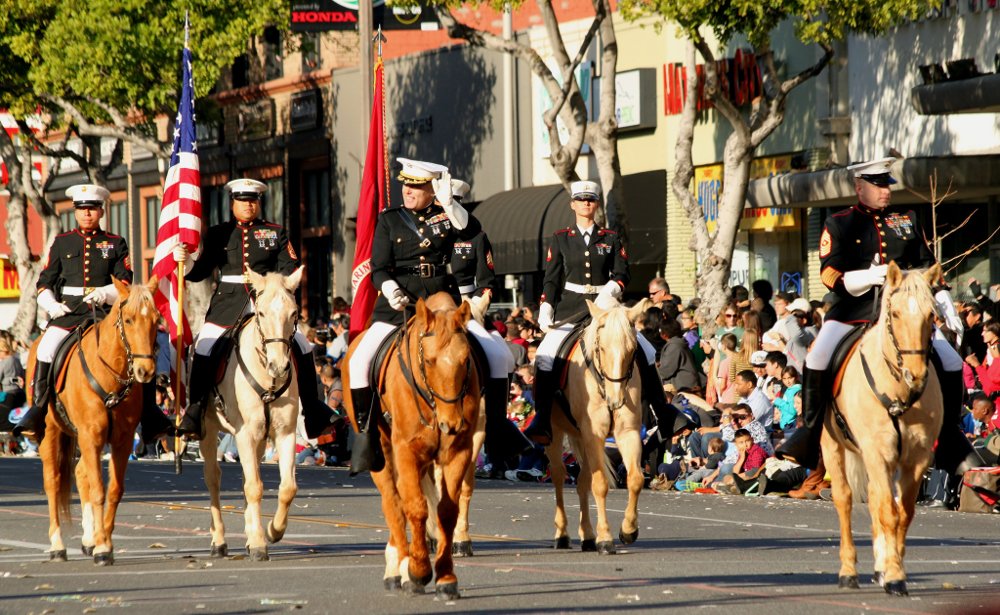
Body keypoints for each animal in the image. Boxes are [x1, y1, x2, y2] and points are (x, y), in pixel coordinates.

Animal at [28, 276, 160, 564]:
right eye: (129, 319)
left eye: (156, 320)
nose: (145, 371)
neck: (110, 374)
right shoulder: (91, 435)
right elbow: (98, 489)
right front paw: (102, 548)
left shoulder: (121, 441)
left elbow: (113, 490)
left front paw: (104, 542)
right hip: (51, 432)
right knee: (53, 481)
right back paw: (57, 544)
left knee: (80, 473)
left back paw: (88, 538)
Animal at [196, 268, 302, 560]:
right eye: (262, 313)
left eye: (294, 312)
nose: (279, 366)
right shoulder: (245, 434)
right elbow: (254, 487)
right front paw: (257, 543)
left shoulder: (284, 434)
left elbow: (287, 488)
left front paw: (273, 531)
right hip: (208, 430)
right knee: (213, 479)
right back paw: (219, 540)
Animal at [344, 294, 480, 600]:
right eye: (429, 360)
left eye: (466, 359)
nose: (451, 424)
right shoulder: (405, 451)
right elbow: (415, 508)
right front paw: (417, 571)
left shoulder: (458, 453)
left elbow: (446, 511)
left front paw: (446, 577)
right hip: (382, 454)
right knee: (393, 503)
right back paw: (398, 568)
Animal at [544, 300, 644, 556]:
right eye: (602, 348)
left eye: (632, 349)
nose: (616, 400)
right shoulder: (594, 435)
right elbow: (599, 485)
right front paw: (606, 539)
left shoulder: (627, 433)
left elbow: (635, 479)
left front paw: (628, 530)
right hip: (556, 433)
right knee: (559, 475)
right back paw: (562, 534)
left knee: (582, 481)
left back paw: (587, 536)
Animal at [820, 262, 944, 596]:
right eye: (896, 314)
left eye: (932, 315)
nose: (916, 375)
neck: (898, 390)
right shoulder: (877, 451)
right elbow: (889, 511)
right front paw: (894, 575)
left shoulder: (916, 458)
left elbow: (903, 512)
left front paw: (893, 569)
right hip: (833, 446)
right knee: (844, 499)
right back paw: (848, 571)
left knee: (876, 499)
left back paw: (879, 565)